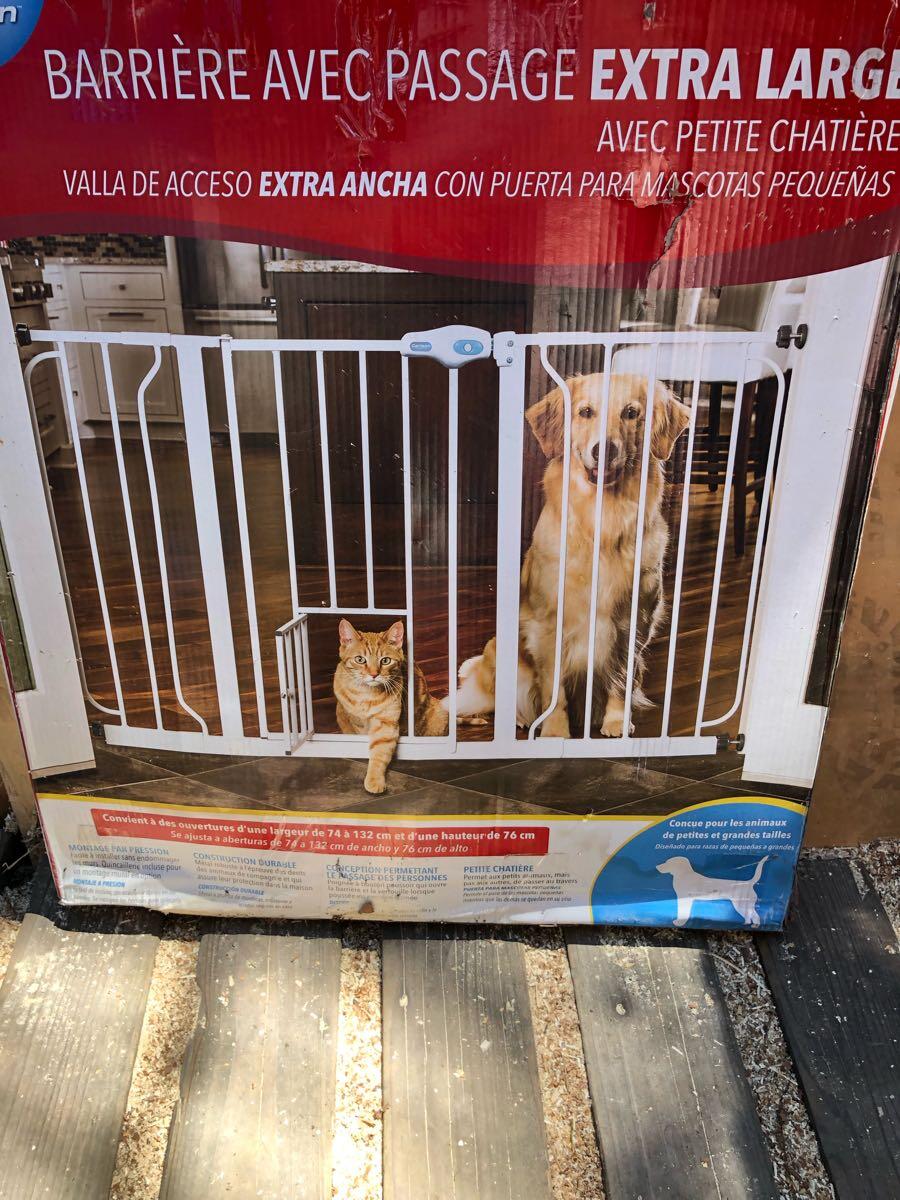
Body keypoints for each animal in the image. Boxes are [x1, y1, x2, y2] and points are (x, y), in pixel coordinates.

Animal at [333, 624, 448, 792]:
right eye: (360, 659)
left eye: (385, 660)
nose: (374, 674)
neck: (367, 695)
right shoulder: (357, 723)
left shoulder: (386, 724)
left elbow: (380, 753)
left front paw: (375, 780)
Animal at [451, 372, 691, 729]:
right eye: (586, 412)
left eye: (631, 413)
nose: (604, 450)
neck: (602, 524)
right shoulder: (549, 624)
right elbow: (553, 688)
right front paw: (554, 730)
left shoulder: (635, 623)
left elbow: (623, 677)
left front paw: (615, 723)